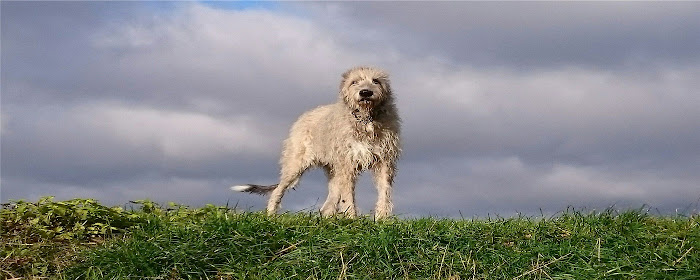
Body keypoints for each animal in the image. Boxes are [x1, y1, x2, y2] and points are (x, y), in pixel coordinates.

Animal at [231, 66, 400, 220]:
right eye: (354, 82)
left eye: (376, 81)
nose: (365, 92)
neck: (366, 120)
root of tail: (303, 116)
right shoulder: (347, 165)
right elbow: (348, 197)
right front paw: (352, 220)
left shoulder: (385, 161)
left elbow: (384, 191)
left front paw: (382, 221)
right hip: (295, 164)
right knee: (278, 190)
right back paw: (271, 216)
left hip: (333, 171)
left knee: (328, 203)